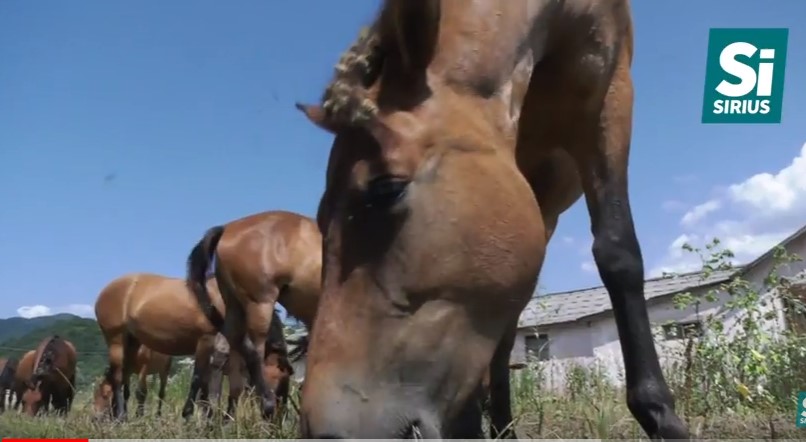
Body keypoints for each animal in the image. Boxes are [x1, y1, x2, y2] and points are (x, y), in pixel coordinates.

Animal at [96, 272, 226, 420]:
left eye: (103, 395)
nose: (96, 418)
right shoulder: (205, 341)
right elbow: (197, 379)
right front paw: (189, 414)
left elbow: (203, 382)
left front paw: (208, 416)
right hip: (116, 341)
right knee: (118, 378)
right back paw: (120, 416)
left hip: (132, 345)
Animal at [186, 209, 322, 420]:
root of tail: (227, 228)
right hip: (259, 303)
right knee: (255, 352)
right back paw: (263, 405)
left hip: (234, 305)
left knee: (226, 348)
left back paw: (222, 415)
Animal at [294, 0, 692, 436]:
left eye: (387, 189)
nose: (326, 431)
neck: (561, 17)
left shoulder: (608, 99)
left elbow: (618, 253)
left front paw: (661, 416)